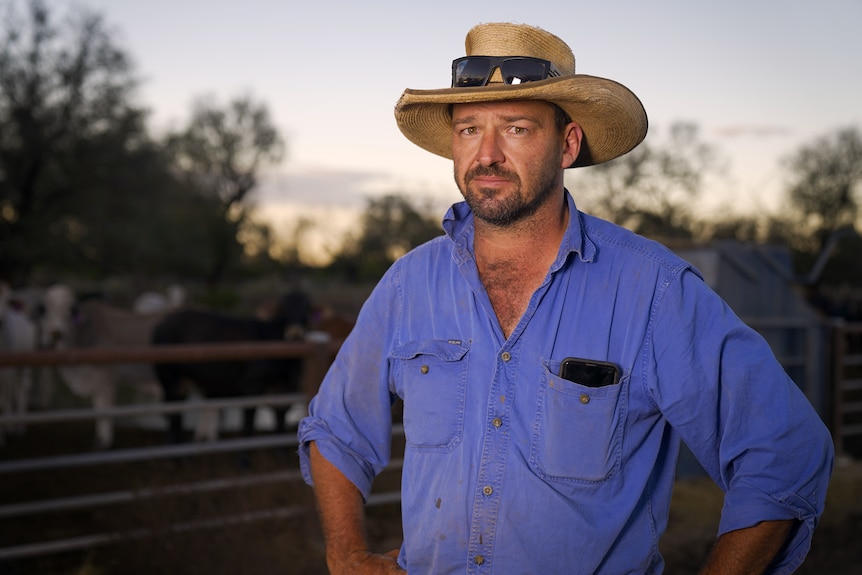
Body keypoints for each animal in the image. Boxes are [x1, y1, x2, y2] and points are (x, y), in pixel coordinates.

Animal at [151, 290, 314, 448]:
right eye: (283, 308)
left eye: (307, 309)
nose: (295, 332)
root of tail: (162, 323)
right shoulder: (251, 388)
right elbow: (248, 428)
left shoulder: (282, 391)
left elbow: (280, 426)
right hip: (168, 377)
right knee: (173, 415)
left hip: (183, 382)